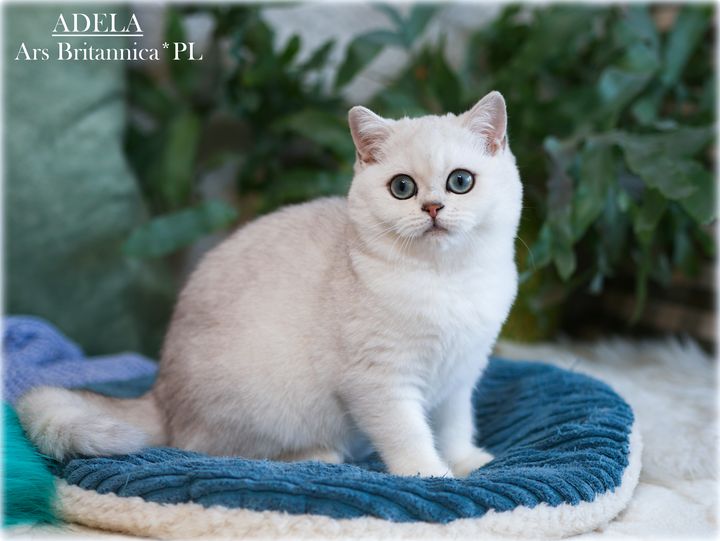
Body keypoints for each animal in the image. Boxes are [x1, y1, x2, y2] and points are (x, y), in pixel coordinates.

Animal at [17, 91, 522, 478]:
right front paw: (431, 474)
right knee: (217, 450)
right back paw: (317, 455)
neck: (445, 279)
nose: (433, 208)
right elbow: (410, 435)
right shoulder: (380, 383)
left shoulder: (460, 377)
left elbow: (455, 426)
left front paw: (465, 462)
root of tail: (160, 396)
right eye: (402, 188)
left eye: (460, 181)